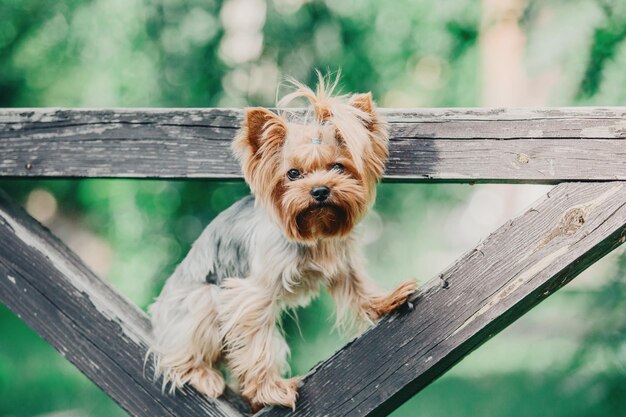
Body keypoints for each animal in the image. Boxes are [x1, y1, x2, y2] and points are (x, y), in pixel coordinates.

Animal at [147, 75, 414, 410]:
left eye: (338, 167)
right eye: (293, 173)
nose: (320, 191)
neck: (315, 231)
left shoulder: (342, 261)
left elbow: (358, 286)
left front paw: (385, 300)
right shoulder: (252, 295)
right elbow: (256, 344)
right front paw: (270, 390)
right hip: (201, 302)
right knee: (177, 355)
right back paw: (203, 375)